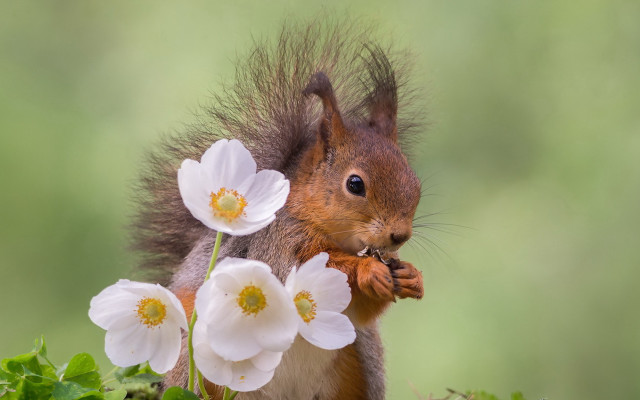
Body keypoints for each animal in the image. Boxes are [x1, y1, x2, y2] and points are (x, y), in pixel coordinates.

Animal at [132, 18, 425, 400]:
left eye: (416, 182)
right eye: (355, 184)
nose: (399, 236)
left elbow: (358, 312)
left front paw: (410, 275)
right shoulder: (276, 245)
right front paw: (367, 270)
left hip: (360, 361)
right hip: (194, 361)